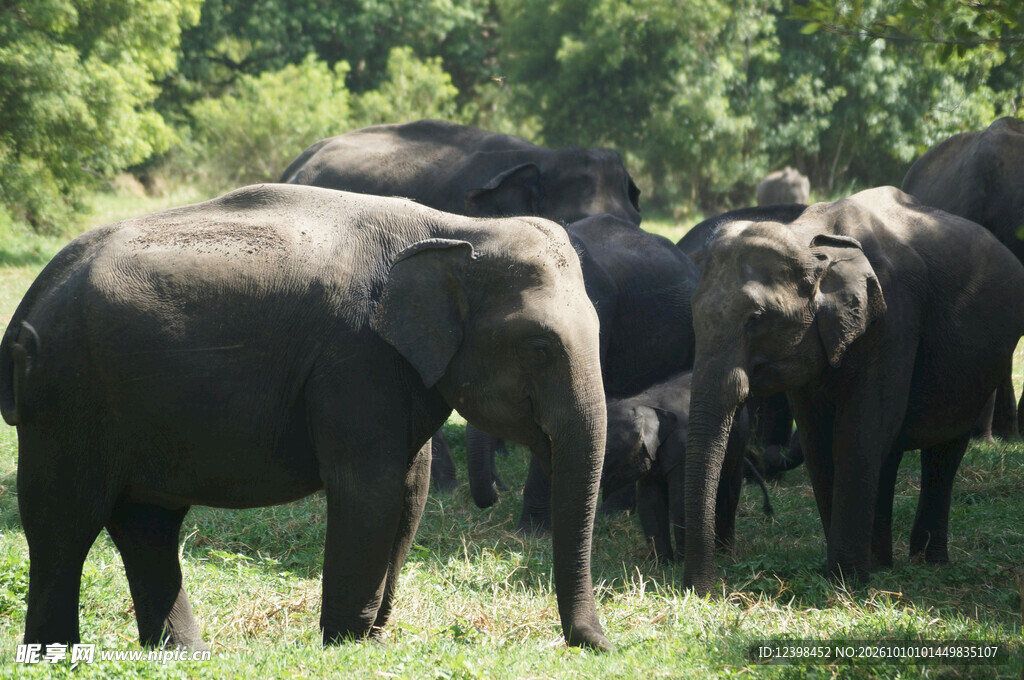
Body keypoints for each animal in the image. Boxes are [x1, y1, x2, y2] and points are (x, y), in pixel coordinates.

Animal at [3, 184, 612, 651]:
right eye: (539, 348)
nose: (597, 645)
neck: (459, 229)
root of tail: (32, 300)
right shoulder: (355, 358)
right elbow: (369, 490)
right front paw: (346, 644)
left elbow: (409, 491)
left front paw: (371, 641)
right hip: (68, 400)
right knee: (65, 522)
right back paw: (58, 654)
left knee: (146, 522)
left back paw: (185, 655)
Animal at [600, 371, 751, 563]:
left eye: (607, 454)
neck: (645, 403)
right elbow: (649, 501)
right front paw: (661, 564)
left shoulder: (683, 447)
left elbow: (681, 499)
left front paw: (681, 562)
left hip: (740, 440)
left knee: (729, 490)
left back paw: (724, 553)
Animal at [682, 186, 1024, 593]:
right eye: (694, 316)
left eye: (756, 319)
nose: (703, 590)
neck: (810, 237)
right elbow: (817, 436)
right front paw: (847, 576)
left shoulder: (894, 318)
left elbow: (861, 430)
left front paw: (846, 582)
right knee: (891, 454)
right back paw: (883, 563)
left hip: (977, 368)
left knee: (944, 450)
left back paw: (929, 563)